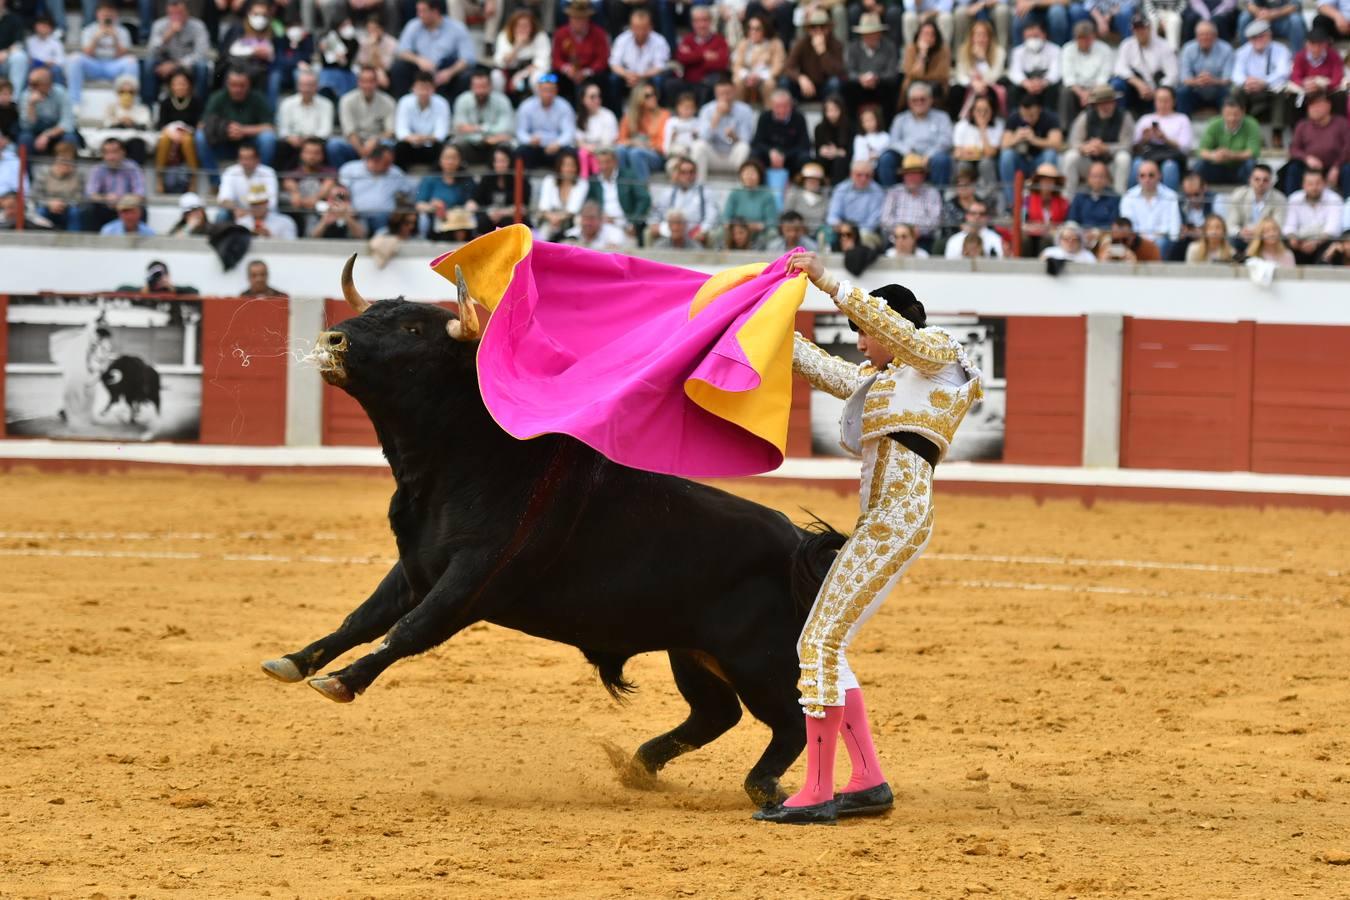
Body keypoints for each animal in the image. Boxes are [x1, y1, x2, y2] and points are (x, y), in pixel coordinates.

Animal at [263, 267, 842, 809]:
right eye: (372, 313)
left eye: (412, 328)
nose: (333, 339)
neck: (463, 464)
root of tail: (798, 544)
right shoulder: (416, 569)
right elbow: (362, 618)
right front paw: (293, 662)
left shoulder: (473, 579)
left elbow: (408, 629)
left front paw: (342, 681)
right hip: (694, 650)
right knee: (715, 714)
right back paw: (639, 766)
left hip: (758, 657)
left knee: (791, 718)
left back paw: (763, 786)